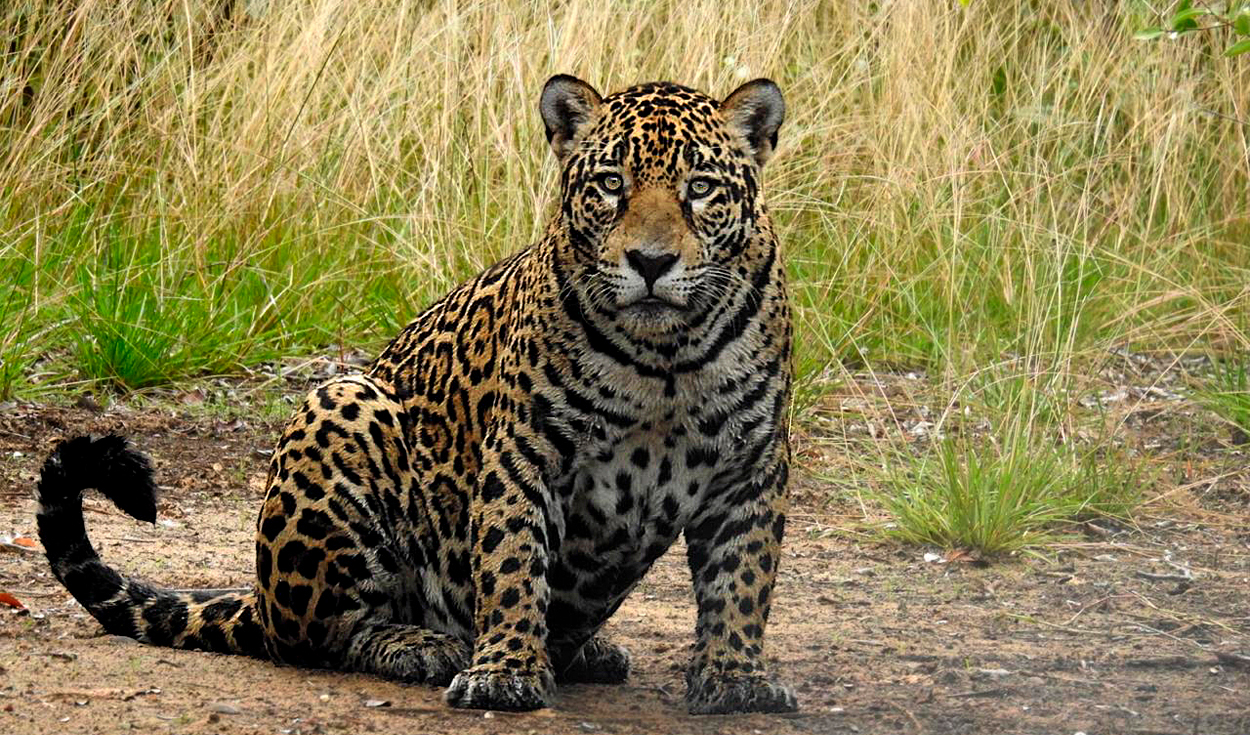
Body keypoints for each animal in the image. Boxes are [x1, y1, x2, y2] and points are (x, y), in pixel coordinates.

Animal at [35, 74, 796, 715]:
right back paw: (427, 646)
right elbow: (512, 560)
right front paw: (504, 671)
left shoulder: (752, 463)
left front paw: (736, 678)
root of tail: (258, 595)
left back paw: (585, 650)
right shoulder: (525, 450)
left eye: (701, 187)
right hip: (341, 405)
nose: (651, 262)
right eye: (611, 183)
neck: (664, 361)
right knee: (321, 635)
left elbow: (743, 576)